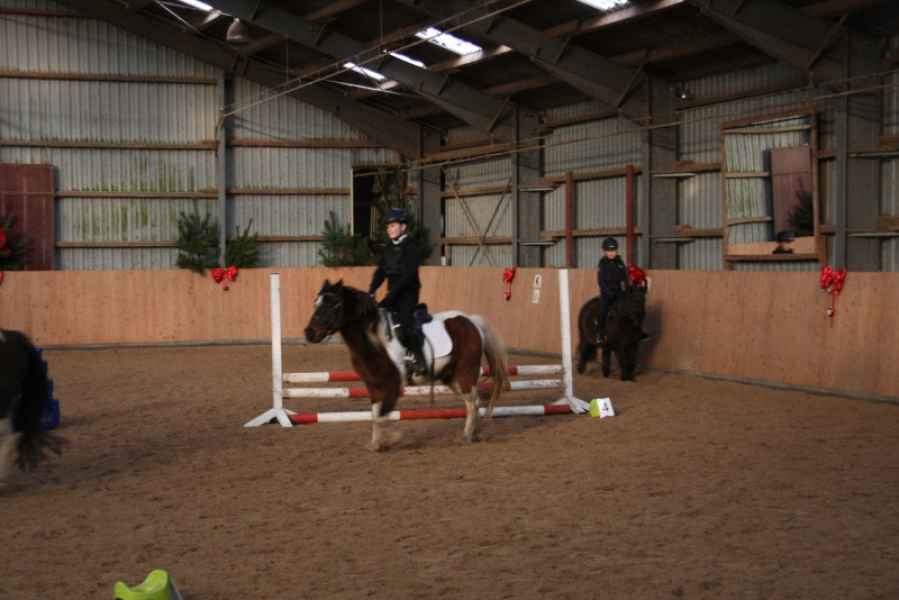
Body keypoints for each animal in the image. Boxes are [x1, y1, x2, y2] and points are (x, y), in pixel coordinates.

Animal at [304, 280, 509, 450]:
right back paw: (474, 433)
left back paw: (467, 435)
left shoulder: (392, 384)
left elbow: (382, 415)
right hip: (451, 378)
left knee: (473, 402)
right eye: (316, 304)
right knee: (473, 402)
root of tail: (471, 321)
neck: (374, 340)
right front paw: (376, 444)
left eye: (334, 304)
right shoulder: (373, 385)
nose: (309, 333)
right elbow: (376, 414)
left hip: (465, 373)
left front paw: (394, 437)